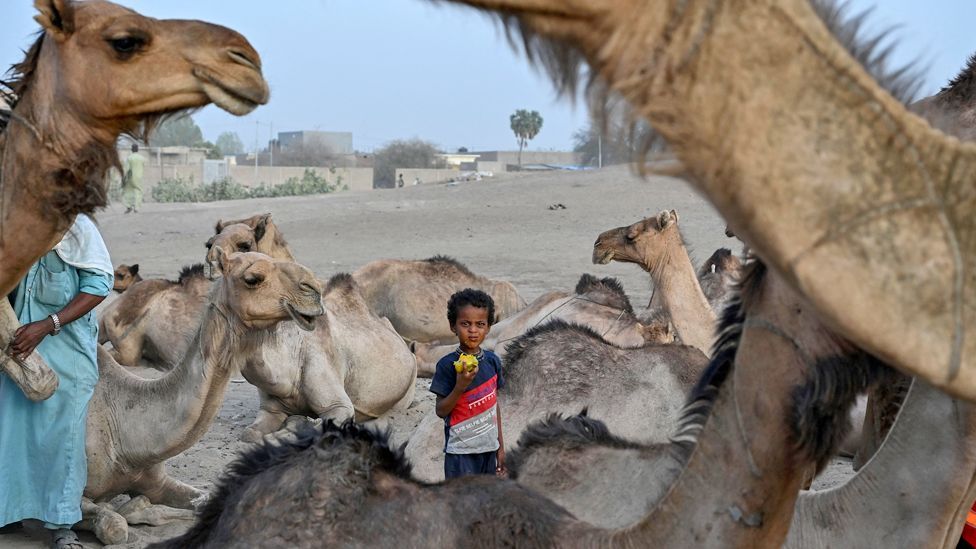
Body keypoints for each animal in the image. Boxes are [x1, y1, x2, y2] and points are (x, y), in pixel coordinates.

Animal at [80, 248, 324, 544]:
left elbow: (207, 499)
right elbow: (114, 526)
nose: (314, 290)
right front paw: (130, 510)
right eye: (253, 279)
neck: (124, 439)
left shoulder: (155, 480)